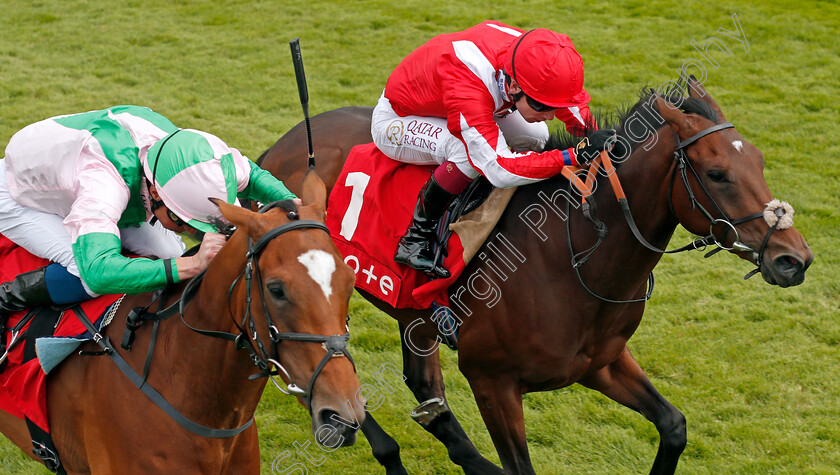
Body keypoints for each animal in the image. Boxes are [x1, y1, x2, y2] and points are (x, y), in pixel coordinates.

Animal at [258, 79, 812, 475]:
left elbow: (673, 426)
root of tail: (275, 150)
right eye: (717, 173)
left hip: (409, 312)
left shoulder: (601, 362)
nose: (794, 259)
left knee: (420, 383)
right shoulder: (492, 381)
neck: (573, 262)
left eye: (760, 160)